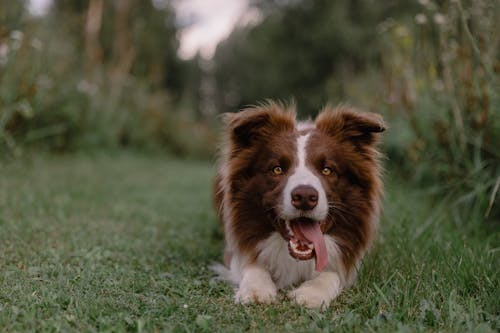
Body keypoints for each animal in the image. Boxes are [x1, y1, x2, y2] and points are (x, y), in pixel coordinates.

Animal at [213, 102, 384, 308]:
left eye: (327, 170)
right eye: (277, 169)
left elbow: (332, 273)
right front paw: (256, 290)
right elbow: (251, 263)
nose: (304, 196)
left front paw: (311, 293)